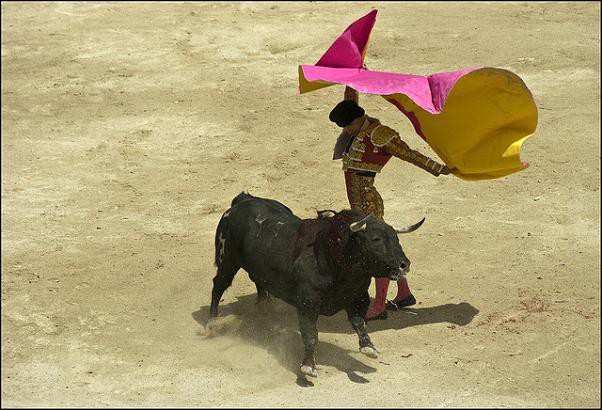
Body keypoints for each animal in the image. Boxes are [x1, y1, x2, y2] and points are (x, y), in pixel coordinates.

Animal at [209, 192, 424, 378]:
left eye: (396, 238)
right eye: (376, 239)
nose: (404, 264)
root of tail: (242, 200)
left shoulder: (358, 297)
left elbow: (359, 322)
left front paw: (368, 347)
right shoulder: (307, 303)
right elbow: (310, 334)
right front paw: (308, 366)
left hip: (255, 267)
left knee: (259, 285)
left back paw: (264, 312)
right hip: (228, 260)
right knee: (219, 285)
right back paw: (211, 324)